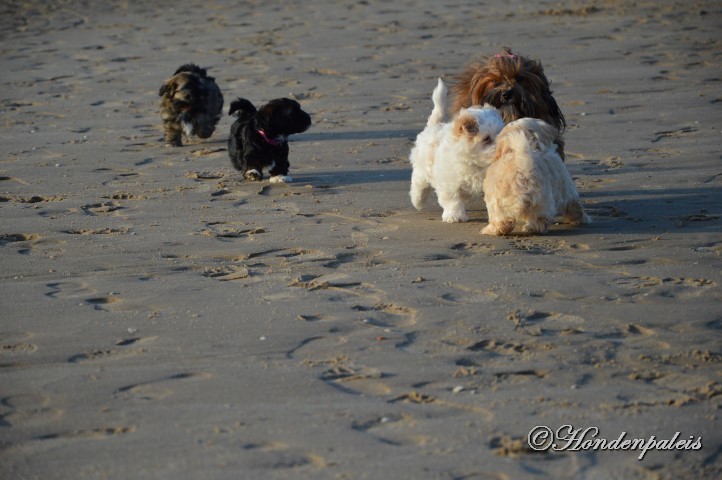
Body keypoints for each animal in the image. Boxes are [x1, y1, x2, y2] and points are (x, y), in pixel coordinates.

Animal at [408, 78, 504, 222]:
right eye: (486, 138)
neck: (475, 163)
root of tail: (434, 126)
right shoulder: (449, 182)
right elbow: (453, 200)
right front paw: (454, 216)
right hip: (421, 167)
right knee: (419, 184)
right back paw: (418, 200)